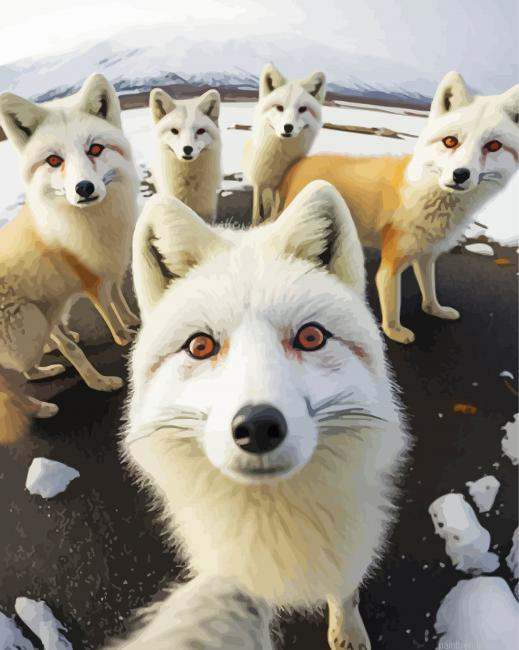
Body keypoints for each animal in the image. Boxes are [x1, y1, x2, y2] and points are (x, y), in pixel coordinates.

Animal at [0, 73, 140, 441]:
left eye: (95, 149)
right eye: (54, 161)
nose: (84, 189)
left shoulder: (113, 268)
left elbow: (120, 300)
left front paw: (133, 321)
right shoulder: (91, 283)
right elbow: (109, 316)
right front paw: (123, 338)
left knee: (33, 365)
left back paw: (48, 367)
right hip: (29, 329)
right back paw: (43, 407)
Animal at [126, 181, 409, 650]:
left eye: (310, 337)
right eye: (200, 346)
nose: (257, 427)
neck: (275, 520)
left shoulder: (349, 542)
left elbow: (344, 590)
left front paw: (347, 630)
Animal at [242, 63, 326, 224]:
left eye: (302, 109)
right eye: (279, 107)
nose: (288, 127)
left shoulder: (281, 189)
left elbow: (276, 212)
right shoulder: (259, 183)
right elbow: (255, 214)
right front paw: (254, 226)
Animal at [277, 71, 519, 344]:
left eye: (493, 146)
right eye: (450, 141)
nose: (460, 175)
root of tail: (303, 161)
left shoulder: (426, 256)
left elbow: (430, 292)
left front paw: (436, 311)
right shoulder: (391, 264)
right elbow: (392, 304)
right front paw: (394, 332)